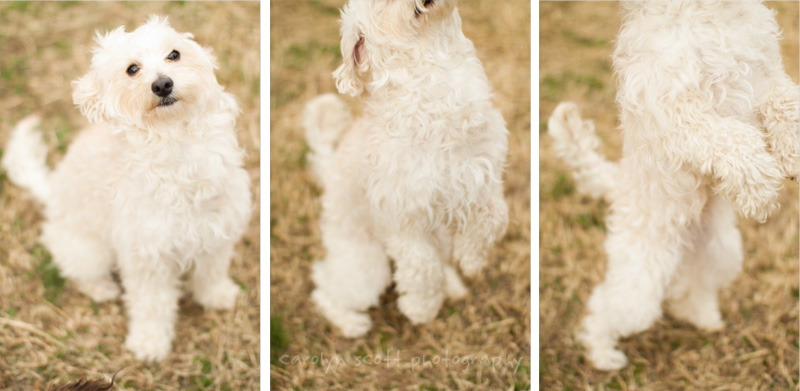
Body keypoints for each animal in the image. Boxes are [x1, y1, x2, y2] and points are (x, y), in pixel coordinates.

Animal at [2, 16, 250, 362]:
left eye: (174, 54)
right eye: (132, 69)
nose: (162, 85)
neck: (176, 143)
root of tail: (51, 196)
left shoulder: (217, 230)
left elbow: (210, 272)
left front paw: (217, 297)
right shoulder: (146, 256)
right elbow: (152, 305)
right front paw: (150, 343)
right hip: (88, 253)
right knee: (80, 273)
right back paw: (102, 289)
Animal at [304, 0, 510, 338]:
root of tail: (329, 169)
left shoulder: (482, 180)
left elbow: (495, 220)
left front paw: (471, 261)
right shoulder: (404, 217)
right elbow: (422, 267)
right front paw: (421, 309)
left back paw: (453, 284)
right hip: (367, 269)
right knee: (324, 285)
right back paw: (351, 323)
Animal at [548, 0, 796, 374]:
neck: (708, 14)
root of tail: (619, 185)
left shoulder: (767, 75)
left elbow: (787, 105)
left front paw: (793, 155)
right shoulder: (676, 110)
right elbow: (734, 138)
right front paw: (760, 190)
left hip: (721, 253)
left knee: (693, 288)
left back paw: (705, 318)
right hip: (641, 284)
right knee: (603, 307)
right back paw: (603, 354)